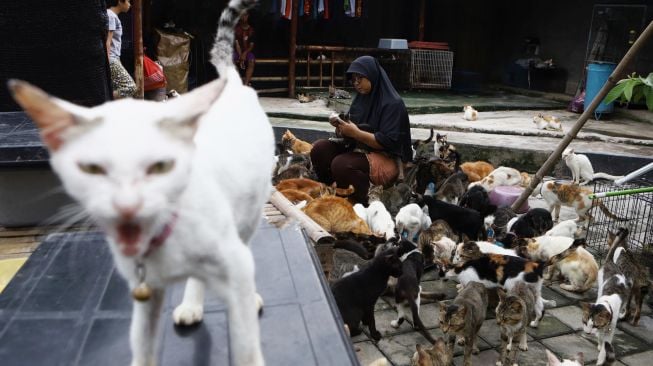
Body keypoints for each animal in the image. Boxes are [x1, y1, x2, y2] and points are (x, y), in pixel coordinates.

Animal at [8, 0, 268, 366]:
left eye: (160, 166)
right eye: (92, 168)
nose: (127, 205)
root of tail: (231, 83)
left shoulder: (235, 262)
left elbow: (245, 340)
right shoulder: (146, 291)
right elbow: (142, 345)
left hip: (249, 212)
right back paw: (191, 304)